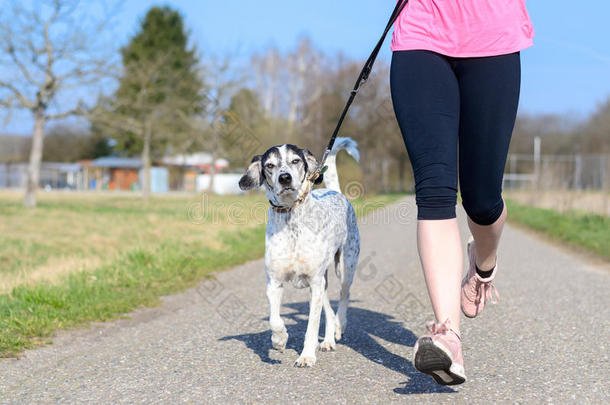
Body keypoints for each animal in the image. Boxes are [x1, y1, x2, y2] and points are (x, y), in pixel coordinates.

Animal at [236, 137, 360, 366]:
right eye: (270, 165)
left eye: (295, 160)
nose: (285, 178)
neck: (291, 218)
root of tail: (337, 192)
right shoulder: (274, 283)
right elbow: (274, 319)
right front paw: (279, 339)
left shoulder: (315, 283)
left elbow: (311, 326)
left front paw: (307, 356)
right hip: (322, 283)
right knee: (329, 312)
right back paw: (328, 341)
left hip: (344, 268)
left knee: (343, 297)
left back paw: (340, 326)